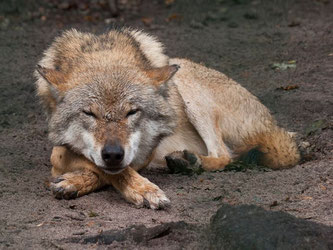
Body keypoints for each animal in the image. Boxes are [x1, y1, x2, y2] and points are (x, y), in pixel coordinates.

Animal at [35, 28, 300, 209]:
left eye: (132, 112)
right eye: (89, 113)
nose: (112, 154)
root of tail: (271, 123)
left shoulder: (141, 154)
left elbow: (118, 171)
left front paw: (144, 190)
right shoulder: (60, 150)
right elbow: (94, 165)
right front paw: (74, 181)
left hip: (188, 92)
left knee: (224, 154)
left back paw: (189, 162)